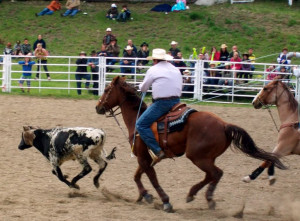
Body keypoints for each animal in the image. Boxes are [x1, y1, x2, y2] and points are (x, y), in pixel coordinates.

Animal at [95, 76, 286, 212]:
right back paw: (196, 195)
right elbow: (137, 175)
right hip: (206, 157)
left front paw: (164, 201)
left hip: (196, 156)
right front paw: (143, 196)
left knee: (216, 173)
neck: (137, 119)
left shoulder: (142, 155)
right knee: (212, 174)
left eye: (106, 89)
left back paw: (205, 197)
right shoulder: (149, 158)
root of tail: (224, 125)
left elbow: (152, 178)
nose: (97, 107)